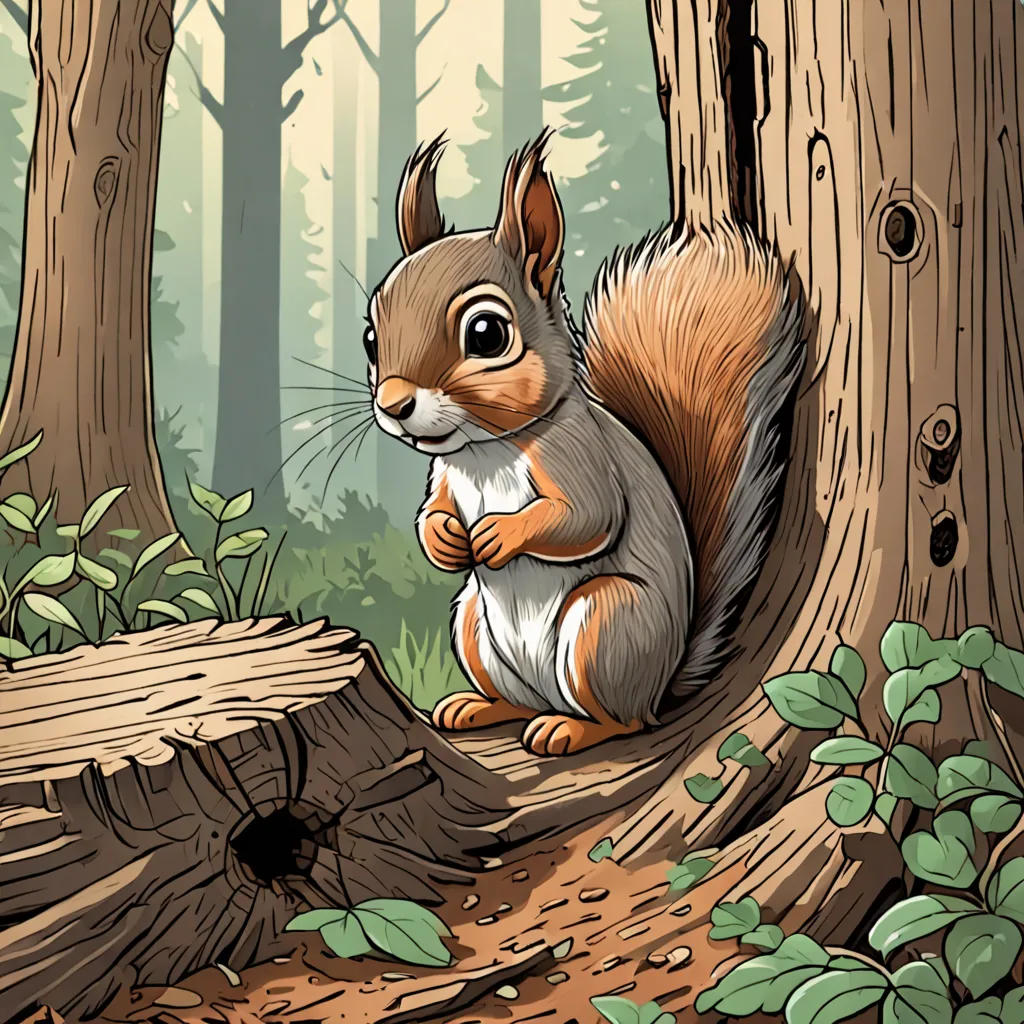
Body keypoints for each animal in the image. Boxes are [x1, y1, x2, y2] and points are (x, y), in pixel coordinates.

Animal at [364, 129, 806, 756]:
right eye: (371, 337)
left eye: (487, 334)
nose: (394, 404)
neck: (484, 450)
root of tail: (662, 685)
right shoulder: (444, 475)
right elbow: (433, 512)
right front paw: (445, 540)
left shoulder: (580, 456)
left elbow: (588, 517)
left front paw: (498, 535)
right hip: (473, 623)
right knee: (517, 698)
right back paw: (477, 707)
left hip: (605, 624)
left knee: (623, 720)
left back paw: (570, 728)